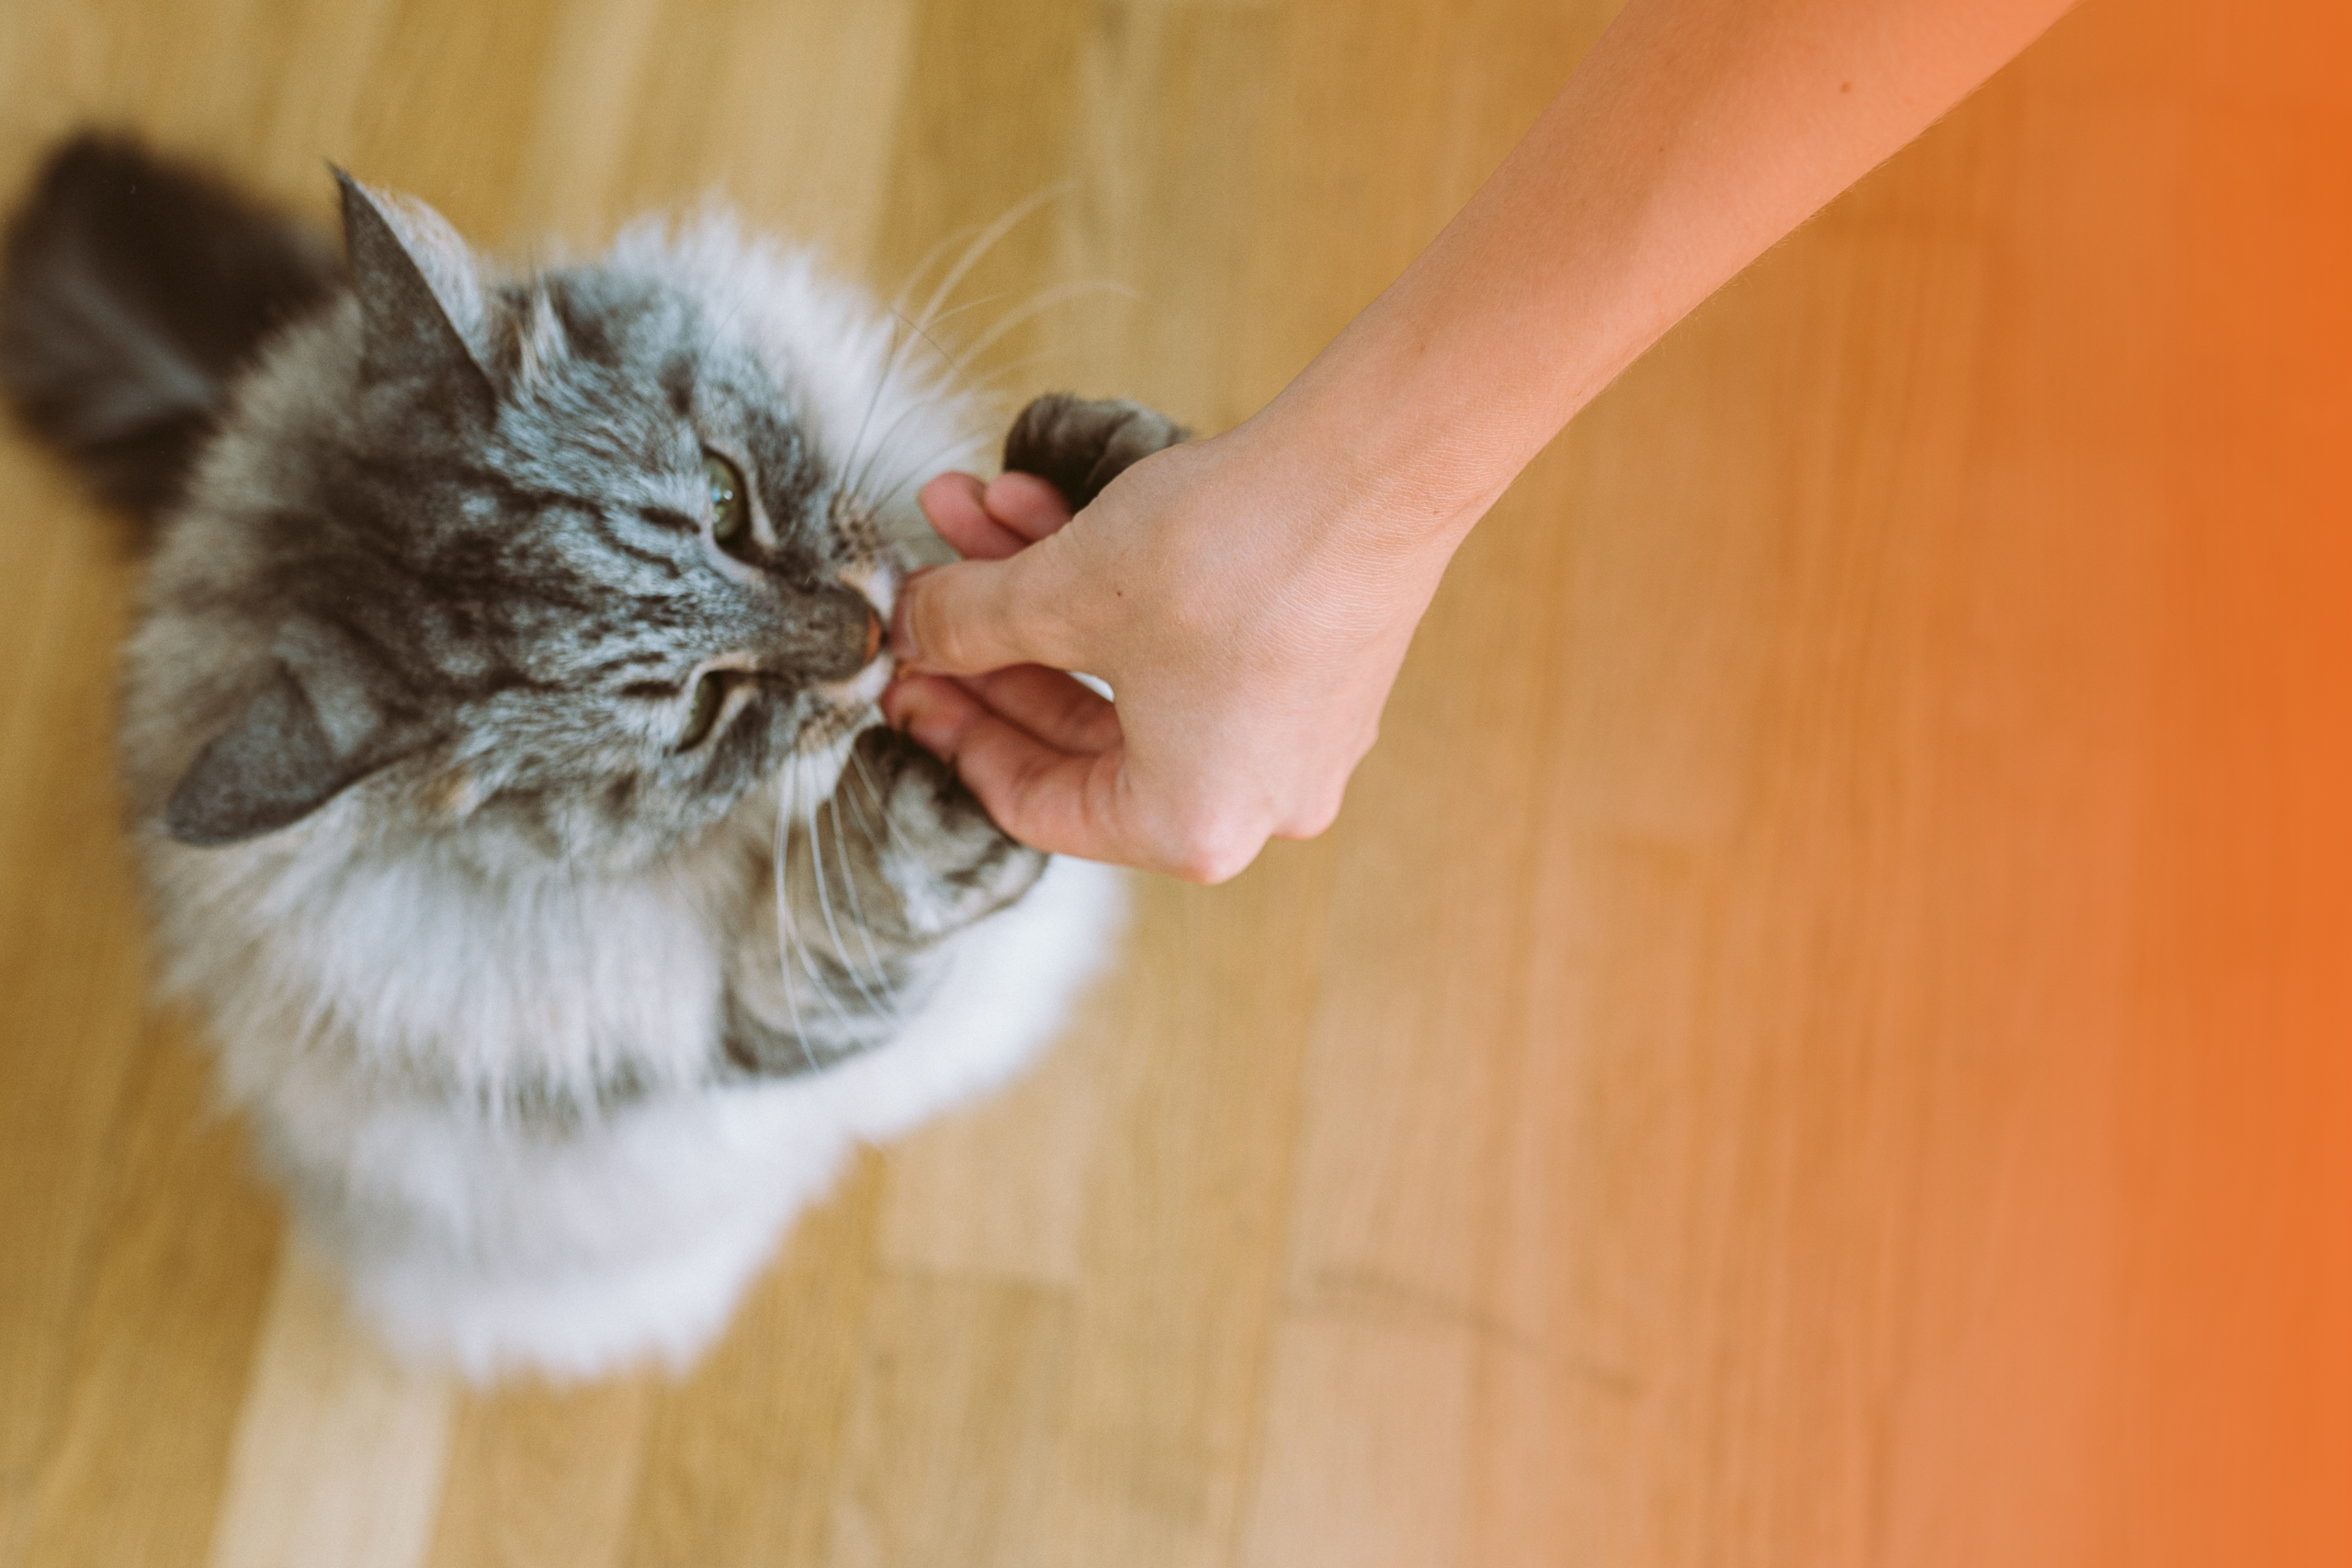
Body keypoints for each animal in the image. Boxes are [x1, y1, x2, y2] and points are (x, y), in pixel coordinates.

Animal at [0, 138, 1176, 1382]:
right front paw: (924, 813)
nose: (868, 635)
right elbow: (863, 915)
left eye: (724, 498)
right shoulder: (739, 1037)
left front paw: (1097, 480)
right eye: (700, 713)